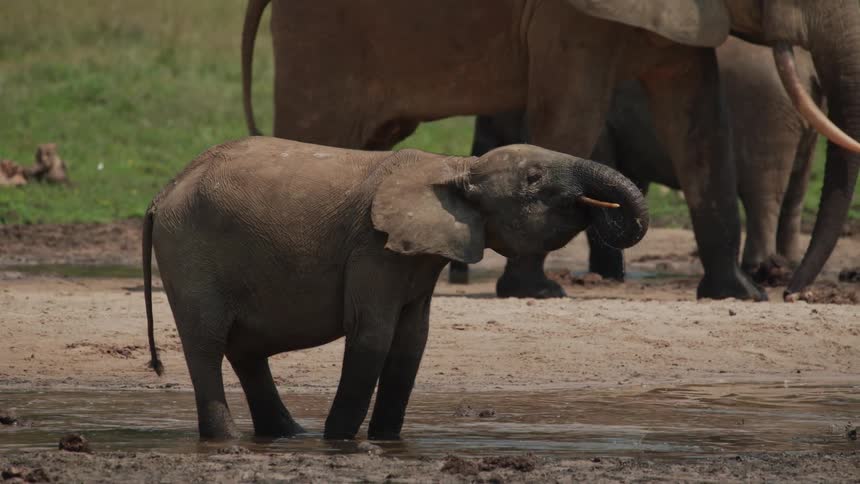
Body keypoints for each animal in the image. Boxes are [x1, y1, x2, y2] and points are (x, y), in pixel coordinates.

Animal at [142, 137, 648, 440]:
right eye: (533, 179)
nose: (600, 210)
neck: (457, 168)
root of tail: (161, 193)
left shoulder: (417, 259)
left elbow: (411, 343)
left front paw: (386, 441)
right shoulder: (374, 249)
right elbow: (373, 336)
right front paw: (341, 442)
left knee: (246, 352)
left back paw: (289, 436)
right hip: (189, 249)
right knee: (208, 345)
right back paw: (230, 439)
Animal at [451, 37, 823, 287]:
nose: (459, 277)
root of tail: (808, 70)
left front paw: (606, 276)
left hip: (766, 111)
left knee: (764, 191)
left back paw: (758, 271)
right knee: (796, 189)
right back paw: (785, 267)